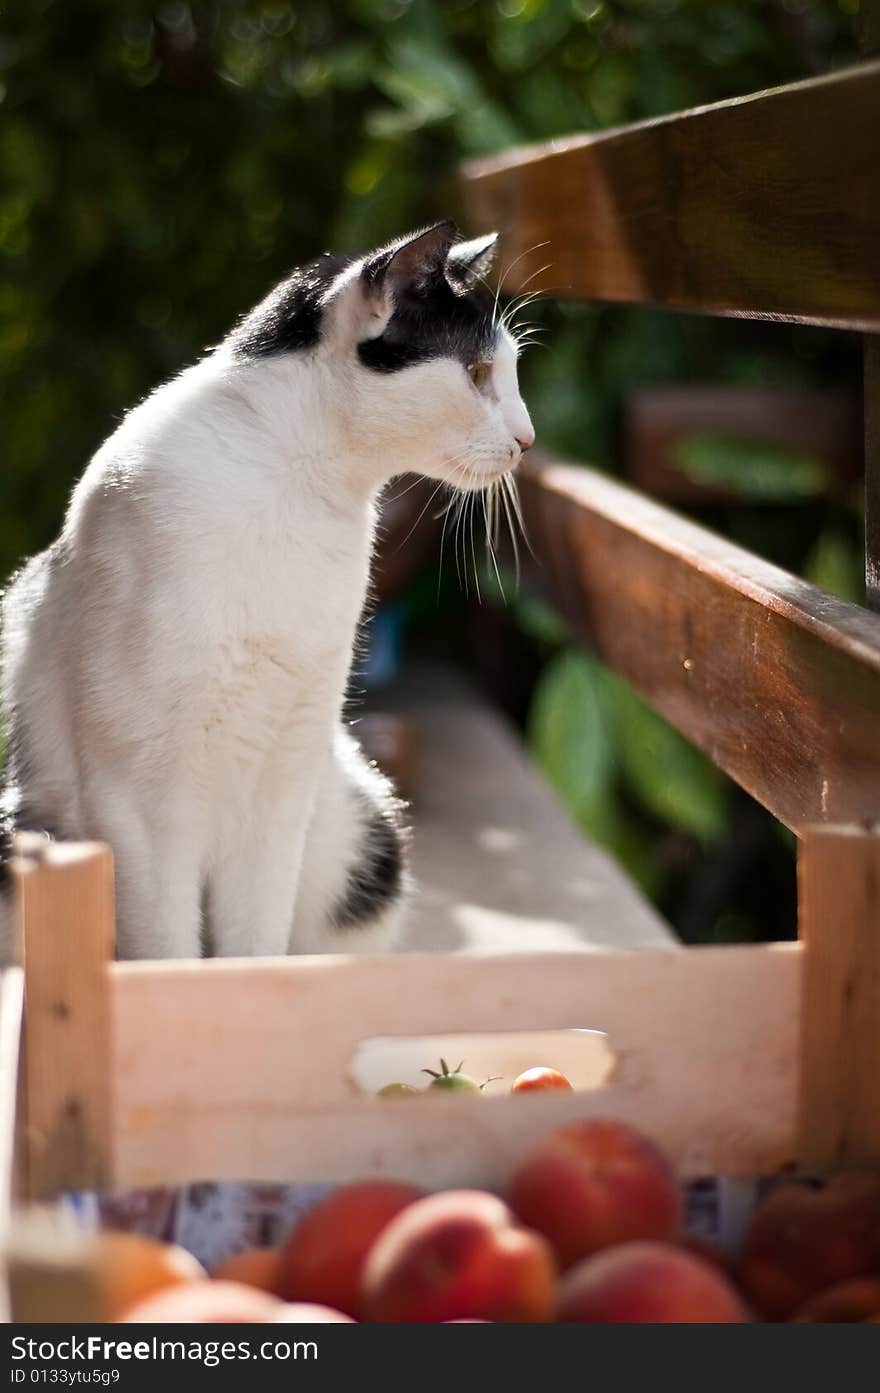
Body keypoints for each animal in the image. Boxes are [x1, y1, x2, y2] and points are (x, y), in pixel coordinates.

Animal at [0, 220, 537, 958]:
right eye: (478, 373)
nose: (527, 439)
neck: (296, 488)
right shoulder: (138, 800)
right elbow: (171, 953)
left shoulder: (285, 775)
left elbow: (254, 947)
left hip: (352, 819)